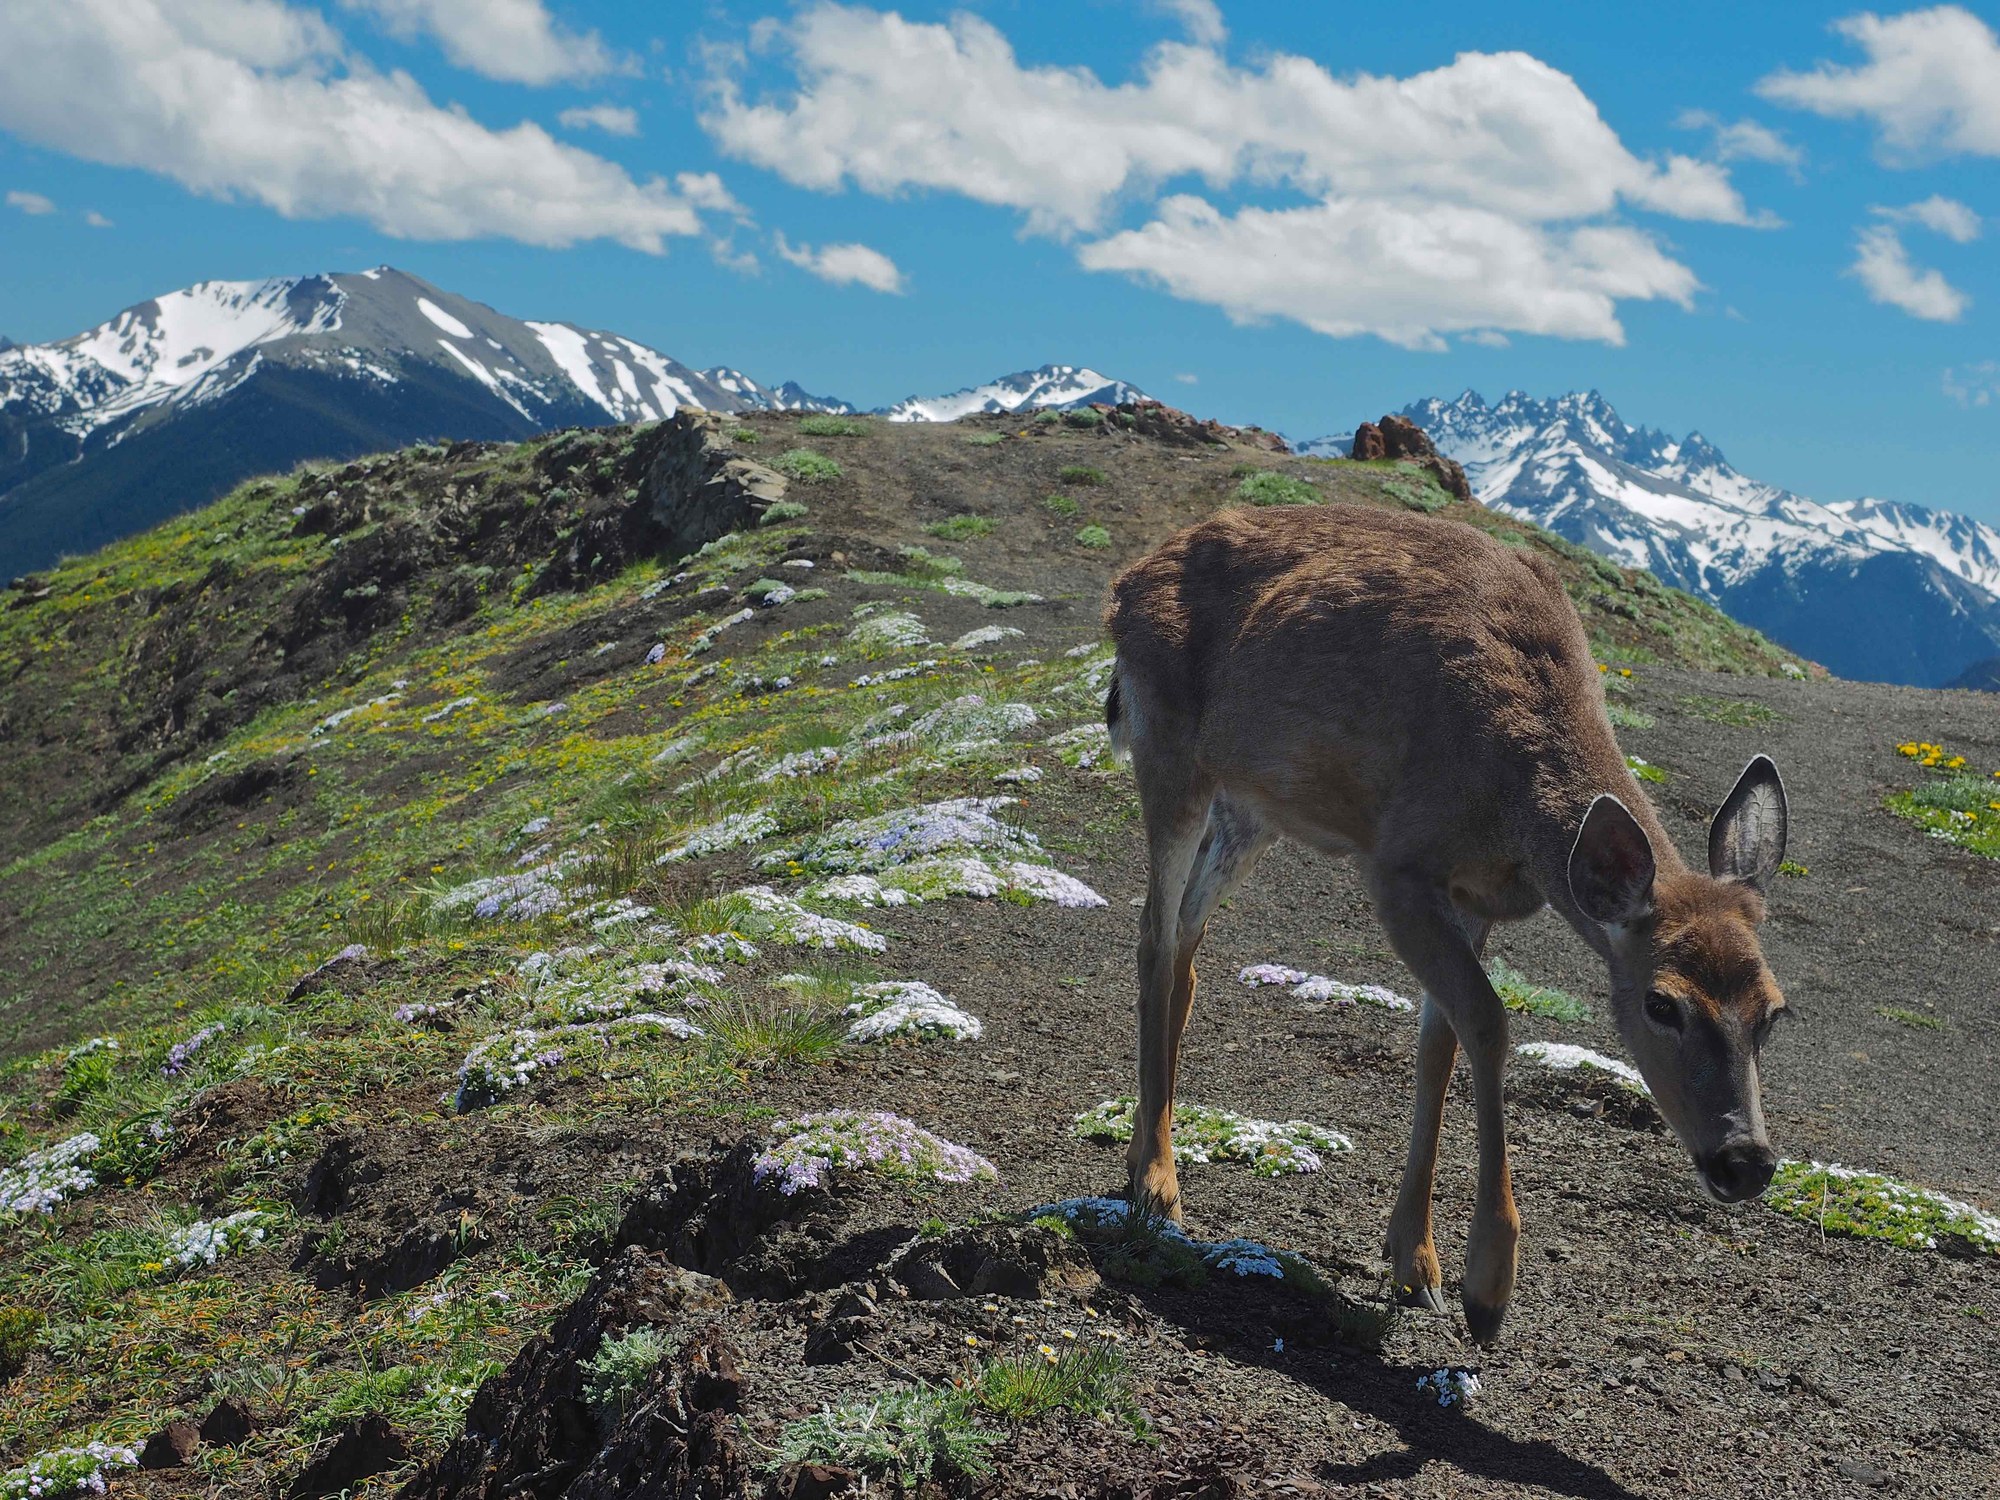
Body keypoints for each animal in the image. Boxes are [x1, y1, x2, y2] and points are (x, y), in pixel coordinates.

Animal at [1103, 502, 1790, 1344]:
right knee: (1154, 935)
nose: (1744, 1159)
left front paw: (1415, 1260)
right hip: (1169, 748)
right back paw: (1157, 1182)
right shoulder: (1399, 865)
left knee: (1189, 946)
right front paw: (1486, 1284)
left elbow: (1440, 1043)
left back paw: (1144, 1158)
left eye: (1773, 1012)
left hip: (1252, 804)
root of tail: (1128, 582)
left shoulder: (1472, 896)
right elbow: (1489, 1022)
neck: (1513, 803)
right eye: (1662, 1004)